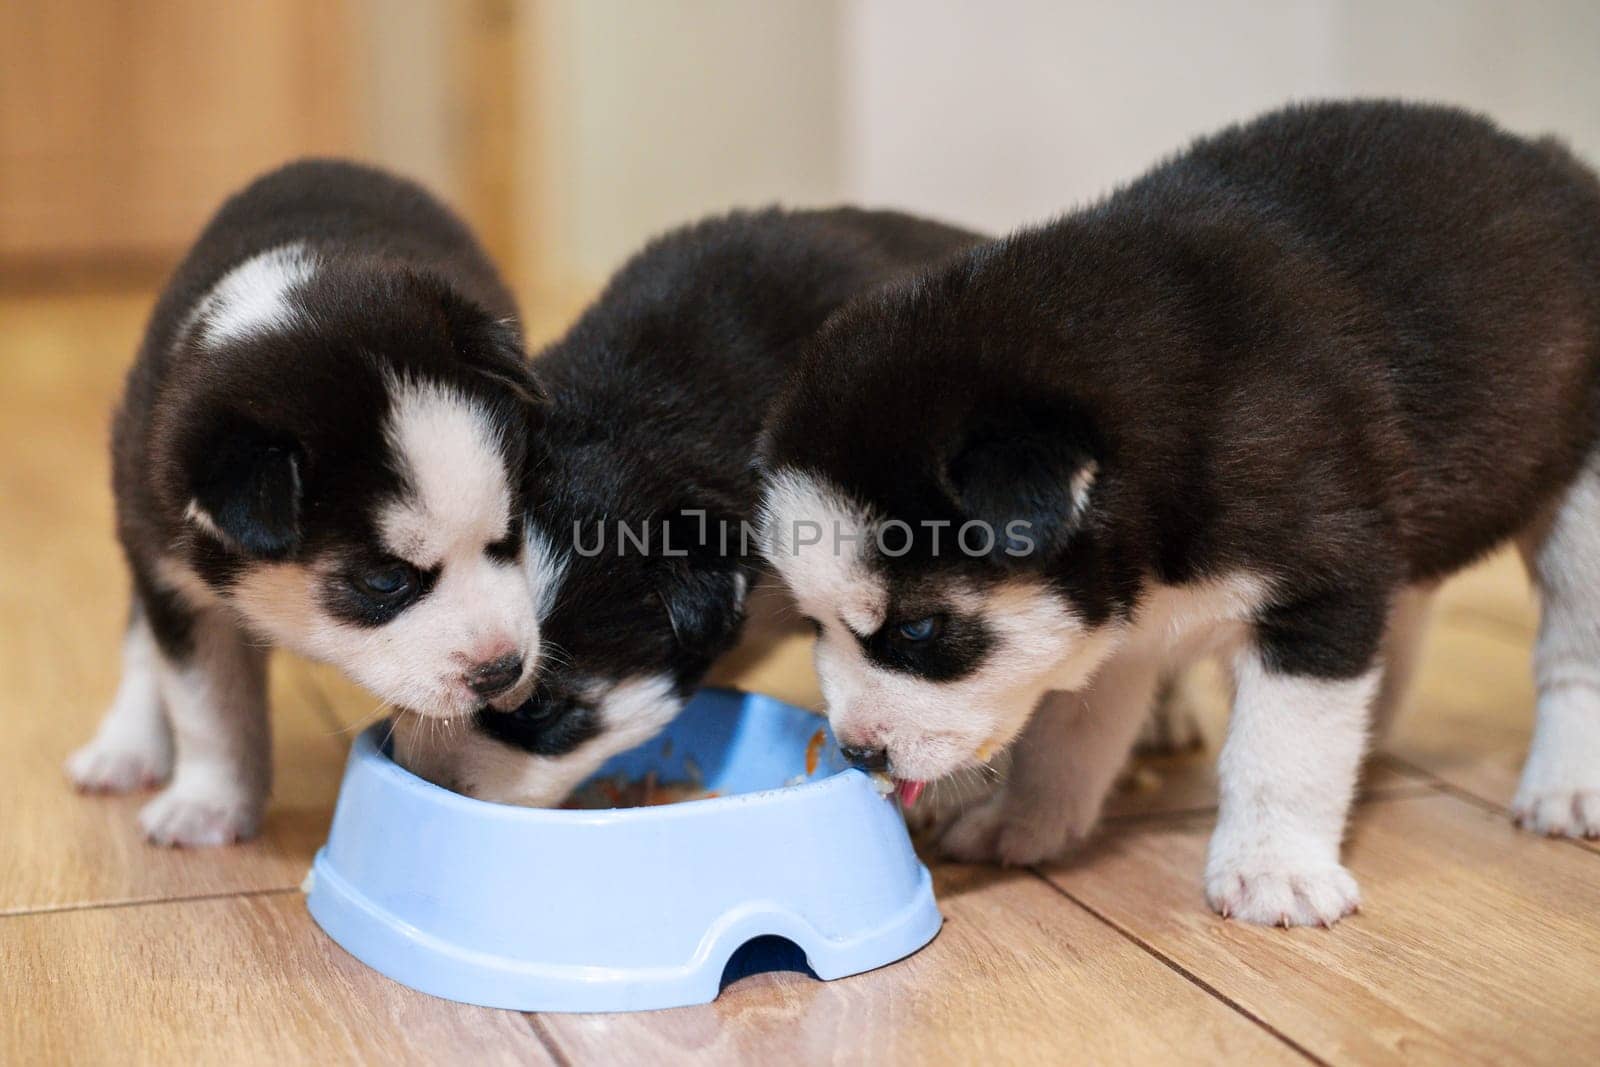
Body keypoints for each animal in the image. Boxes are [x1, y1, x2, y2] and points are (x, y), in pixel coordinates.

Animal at [70, 160, 544, 844]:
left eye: (508, 537)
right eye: (384, 581)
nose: (503, 670)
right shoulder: (176, 574)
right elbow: (206, 708)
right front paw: (208, 805)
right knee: (142, 640)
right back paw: (125, 745)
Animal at [755, 102, 1600, 927]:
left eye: (920, 629)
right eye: (814, 626)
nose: (858, 754)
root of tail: (1554, 159)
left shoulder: (1321, 587)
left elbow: (1282, 748)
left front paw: (1274, 868)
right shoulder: (1116, 632)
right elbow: (1067, 734)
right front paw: (1025, 820)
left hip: (1582, 508)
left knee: (1571, 654)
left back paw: (1568, 785)